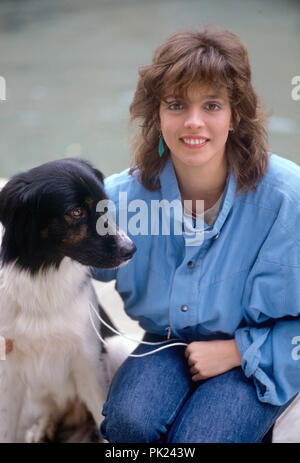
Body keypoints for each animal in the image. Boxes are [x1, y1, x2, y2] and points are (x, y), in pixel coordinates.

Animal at [0, 158, 135, 444]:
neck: (43, 272)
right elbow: (5, 428)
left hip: (116, 347)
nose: (131, 250)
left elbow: (102, 417)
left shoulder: (88, 358)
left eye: (104, 206)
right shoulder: (7, 367)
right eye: (76, 212)